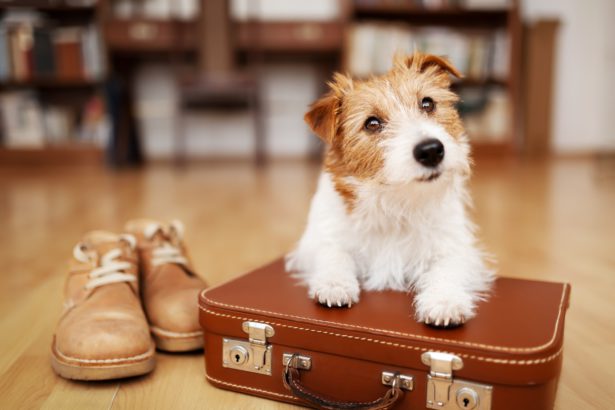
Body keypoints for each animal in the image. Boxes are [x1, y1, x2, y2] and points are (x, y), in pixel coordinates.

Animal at [286, 52, 494, 326]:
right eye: (372, 123)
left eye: (427, 104)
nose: (431, 150)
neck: (396, 202)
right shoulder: (318, 240)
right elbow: (333, 253)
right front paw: (335, 284)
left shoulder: (455, 247)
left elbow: (447, 269)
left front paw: (444, 301)